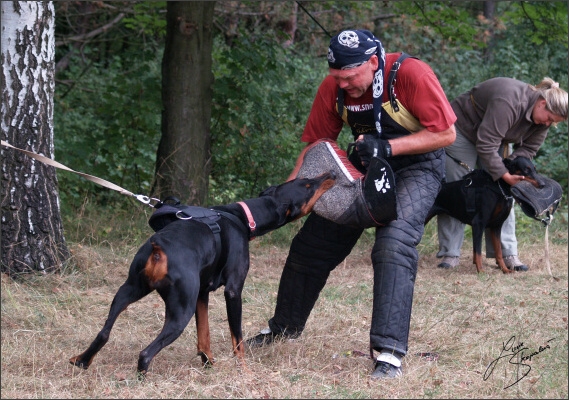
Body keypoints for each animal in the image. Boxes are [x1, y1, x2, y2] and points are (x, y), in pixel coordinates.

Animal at [69, 171, 336, 376]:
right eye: (308, 185)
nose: (332, 174)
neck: (242, 217)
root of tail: (159, 249)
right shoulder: (233, 291)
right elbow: (237, 340)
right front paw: (245, 372)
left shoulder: (202, 294)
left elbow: (204, 335)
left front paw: (209, 364)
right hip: (180, 311)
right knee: (145, 353)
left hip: (128, 290)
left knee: (104, 332)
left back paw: (81, 360)